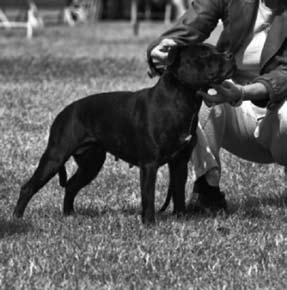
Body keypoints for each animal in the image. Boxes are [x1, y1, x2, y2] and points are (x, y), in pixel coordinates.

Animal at [12, 43, 234, 224]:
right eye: (204, 54)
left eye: (216, 49)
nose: (229, 54)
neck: (181, 99)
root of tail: (64, 112)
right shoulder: (149, 163)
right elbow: (148, 195)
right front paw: (149, 223)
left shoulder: (180, 161)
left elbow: (177, 191)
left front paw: (181, 218)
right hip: (55, 156)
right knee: (28, 187)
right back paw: (17, 218)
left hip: (91, 163)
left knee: (72, 186)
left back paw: (69, 215)